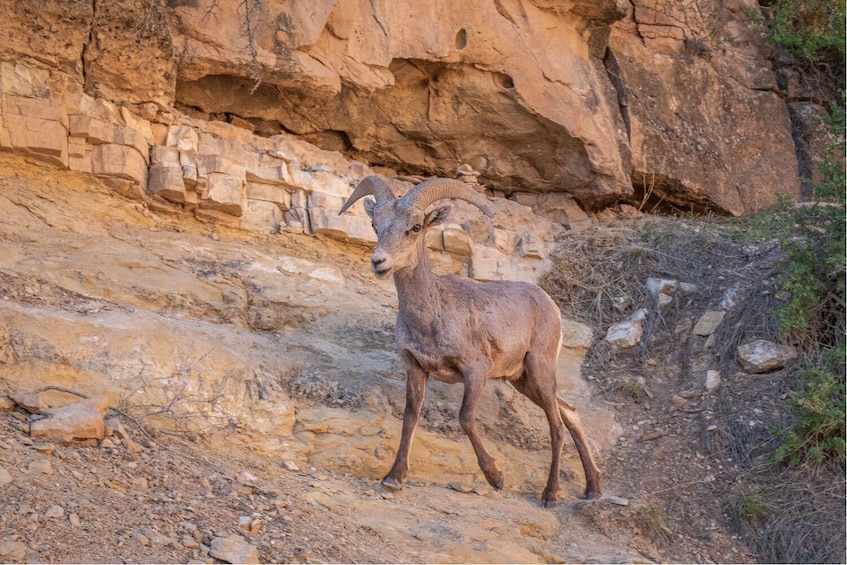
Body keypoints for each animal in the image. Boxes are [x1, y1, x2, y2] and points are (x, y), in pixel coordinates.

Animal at [340, 174, 604, 504]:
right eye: (376, 225)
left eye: (415, 227)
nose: (379, 262)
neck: (433, 315)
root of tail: (549, 304)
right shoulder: (416, 368)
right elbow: (410, 415)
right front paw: (393, 479)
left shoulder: (475, 370)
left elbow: (465, 417)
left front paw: (496, 477)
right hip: (522, 380)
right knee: (569, 413)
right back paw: (592, 489)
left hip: (540, 369)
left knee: (556, 423)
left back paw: (551, 494)